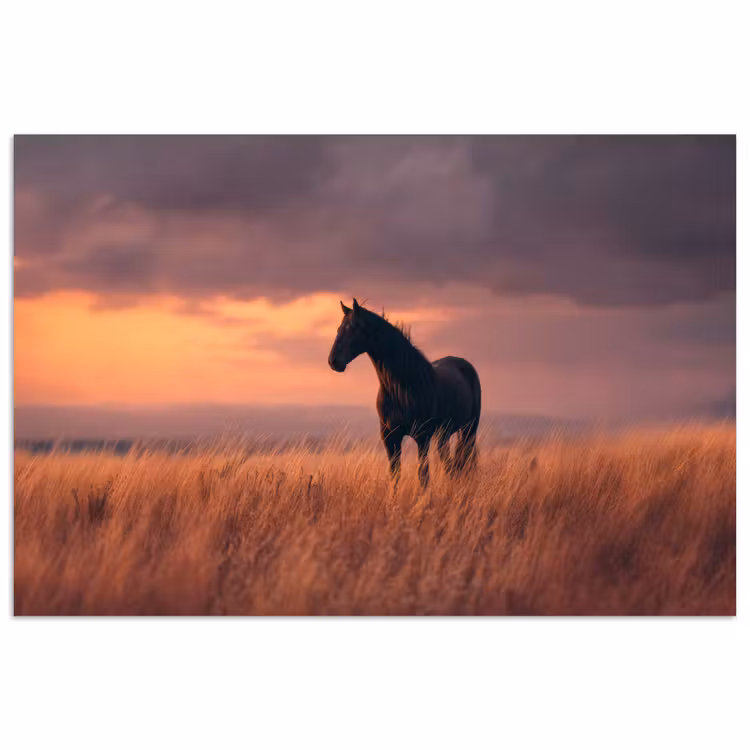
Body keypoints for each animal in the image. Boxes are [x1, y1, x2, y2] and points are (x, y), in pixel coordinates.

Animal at [328, 298, 481, 489]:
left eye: (354, 327)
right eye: (339, 328)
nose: (333, 361)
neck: (402, 388)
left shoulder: (422, 437)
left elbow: (423, 475)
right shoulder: (389, 437)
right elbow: (395, 475)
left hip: (469, 430)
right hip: (444, 434)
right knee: (450, 465)